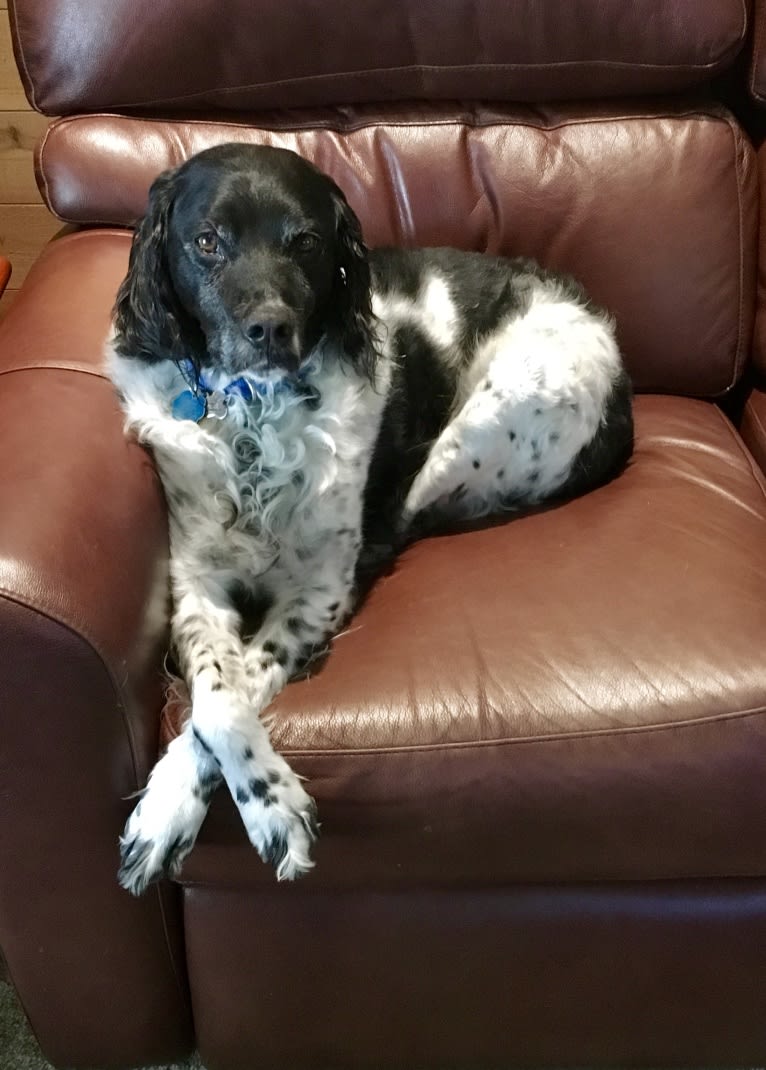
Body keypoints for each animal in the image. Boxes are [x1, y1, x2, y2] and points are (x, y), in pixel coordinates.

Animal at [107, 142, 633, 894]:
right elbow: (214, 687)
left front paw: (250, 807)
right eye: (207, 241)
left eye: (306, 242)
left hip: (490, 419)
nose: (270, 329)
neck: (256, 419)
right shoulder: (196, 581)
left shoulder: (320, 591)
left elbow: (234, 691)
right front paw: (179, 806)